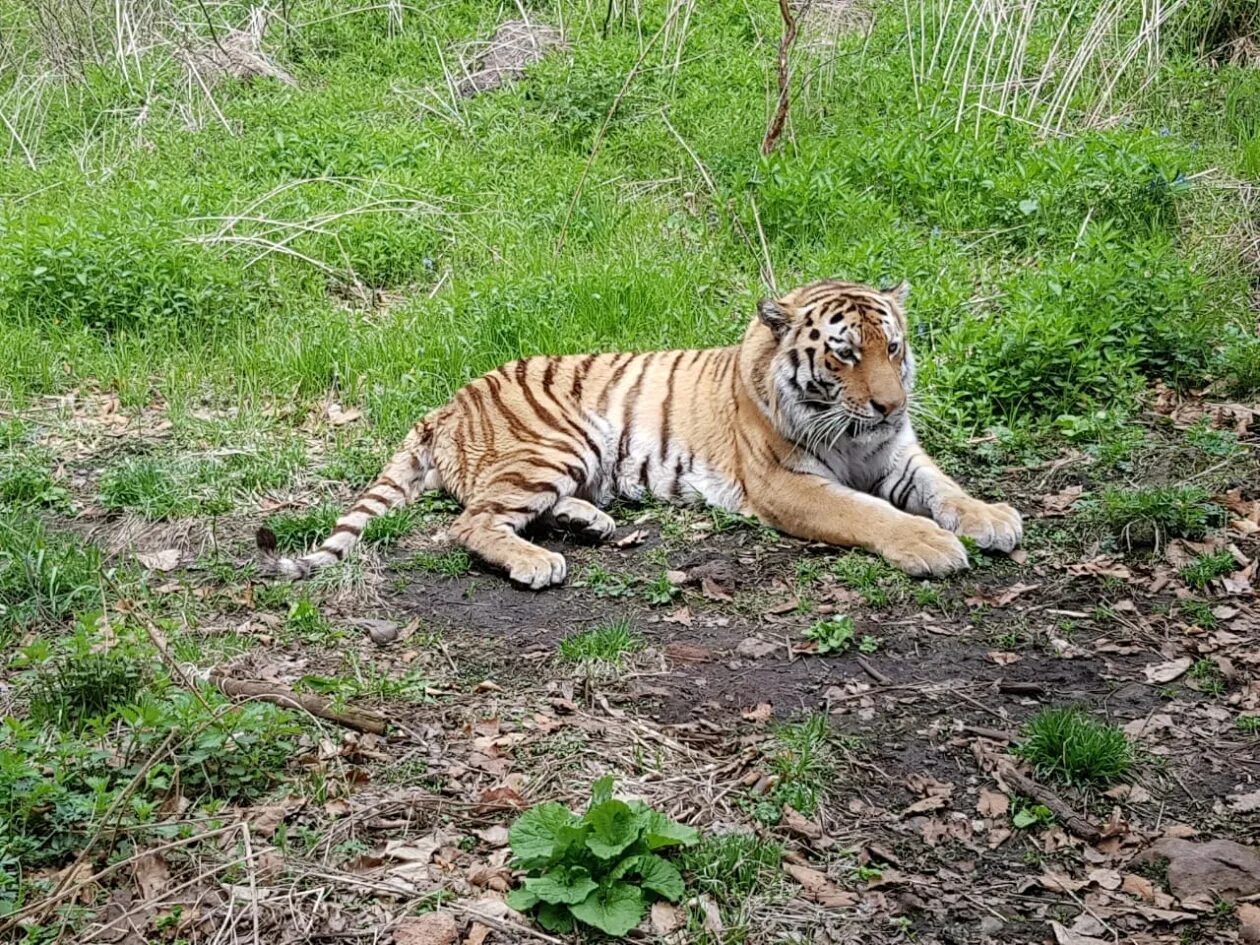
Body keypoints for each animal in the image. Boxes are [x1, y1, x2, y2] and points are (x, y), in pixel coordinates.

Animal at [258, 277, 1023, 589]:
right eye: (843, 354)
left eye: (891, 348)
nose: (892, 405)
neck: (856, 436)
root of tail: (448, 401)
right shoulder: (788, 485)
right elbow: (868, 513)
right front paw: (932, 546)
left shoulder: (899, 453)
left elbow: (945, 487)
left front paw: (993, 518)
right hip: (557, 439)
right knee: (469, 521)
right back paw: (539, 561)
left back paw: (590, 522)